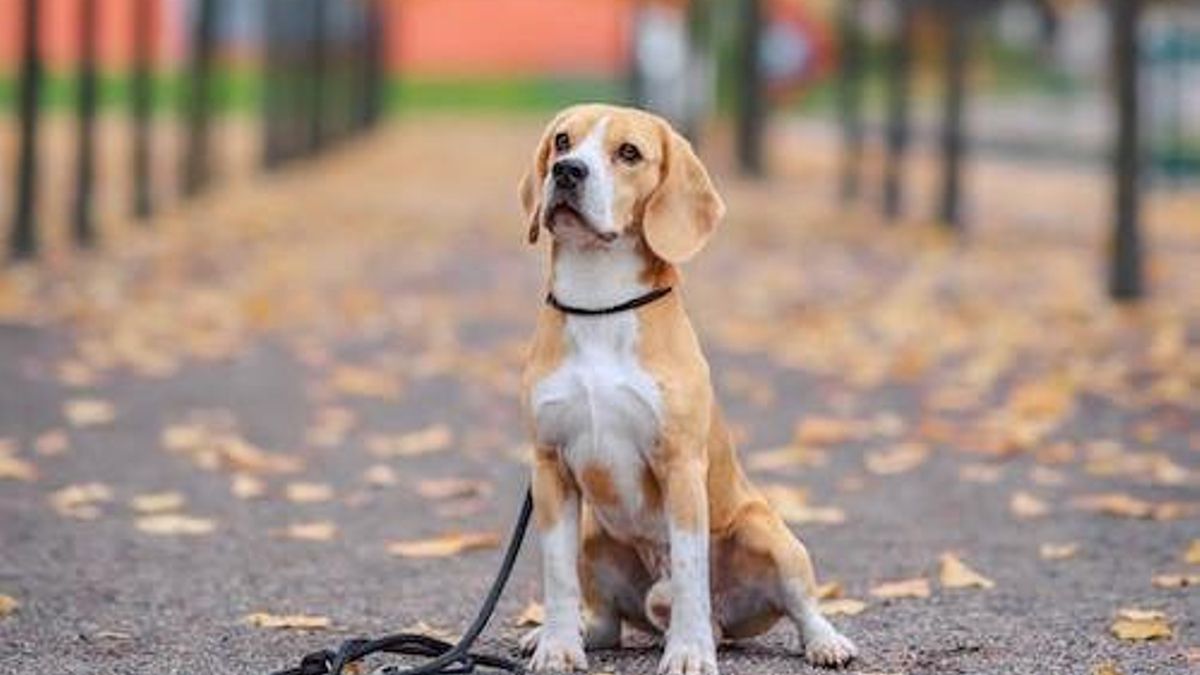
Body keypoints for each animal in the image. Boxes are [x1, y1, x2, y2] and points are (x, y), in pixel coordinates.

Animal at [516, 105, 854, 672]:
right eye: (563, 141)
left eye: (629, 153)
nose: (566, 172)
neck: (599, 302)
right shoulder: (550, 468)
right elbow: (557, 576)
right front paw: (557, 645)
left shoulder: (679, 467)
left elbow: (692, 574)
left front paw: (690, 651)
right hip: (595, 541)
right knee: (607, 623)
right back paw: (575, 633)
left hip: (771, 536)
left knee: (801, 607)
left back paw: (824, 642)